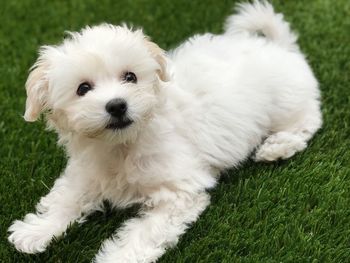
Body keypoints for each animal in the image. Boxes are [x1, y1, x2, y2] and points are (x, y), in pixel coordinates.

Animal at [7, 1, 322, 262]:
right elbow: (66, 196)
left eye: (130, 77)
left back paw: (278, 146)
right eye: (82, 88)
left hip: (286, 102)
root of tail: (281, 46)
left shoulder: (179, 192)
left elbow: (144, 233)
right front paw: (37, 230)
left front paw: (118, 258)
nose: (117, 105)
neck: (124, 144)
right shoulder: (87, 172)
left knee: (308, 118)